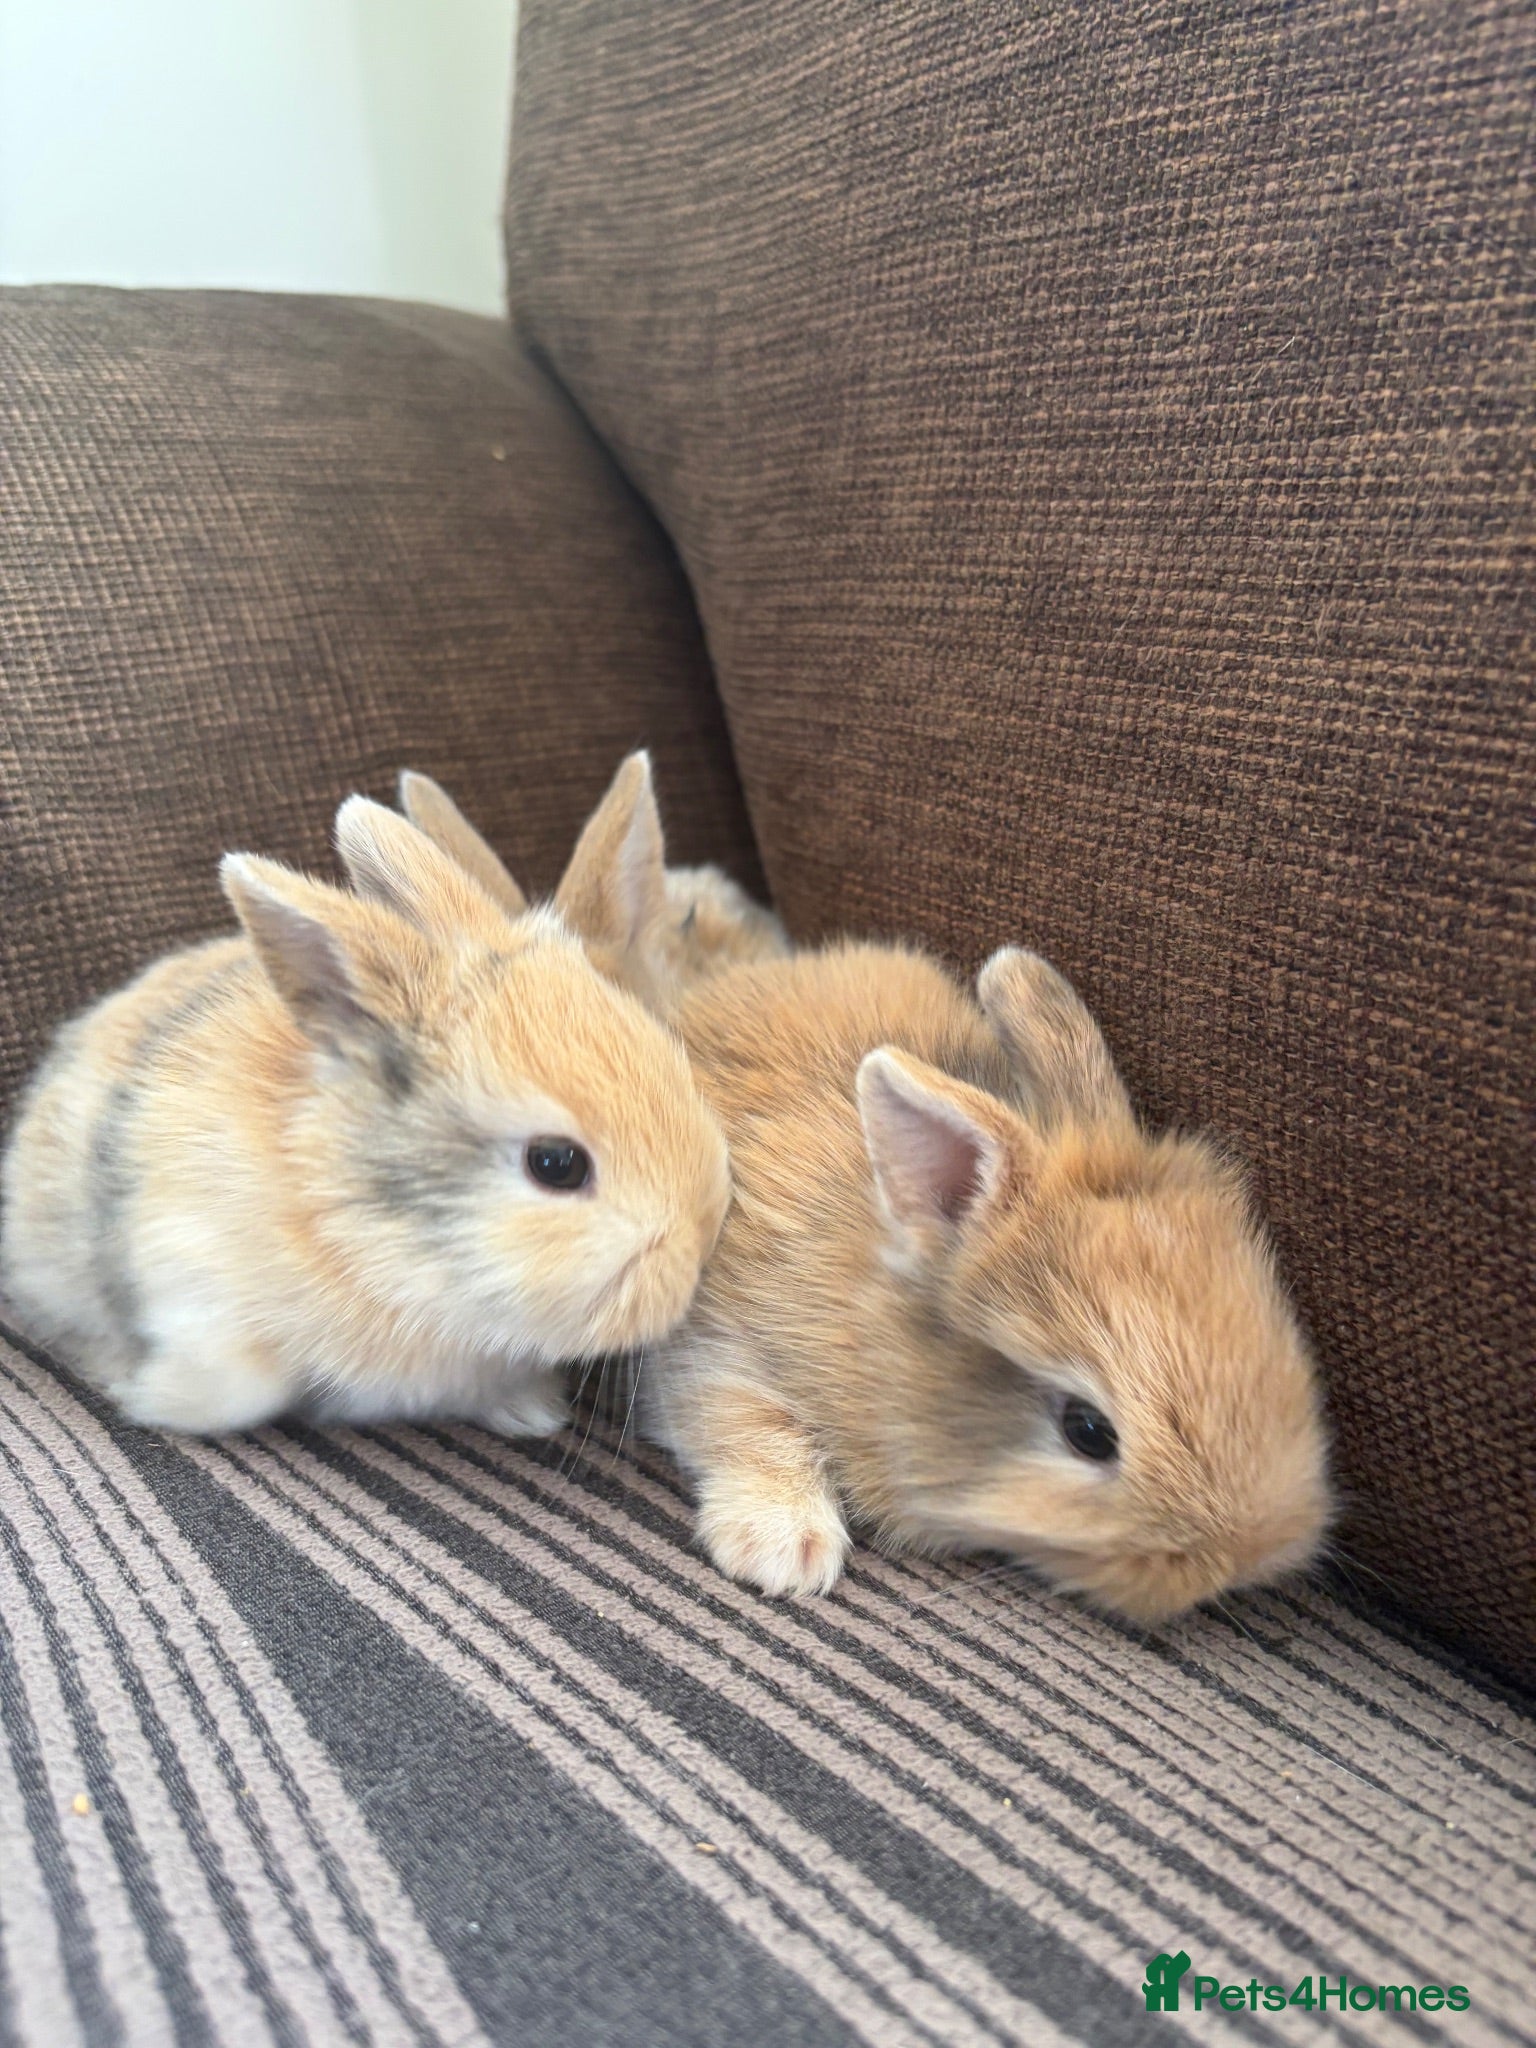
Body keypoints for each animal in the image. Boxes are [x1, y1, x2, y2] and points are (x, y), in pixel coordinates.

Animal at [0, 795, 730, 1437]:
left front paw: (531, 1413)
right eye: (556, 1164)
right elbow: (235, 1389)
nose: (699, 1251)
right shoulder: (189, 1268)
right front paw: (146, 1391)